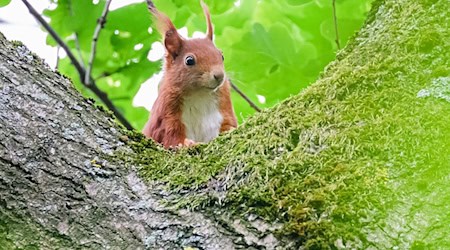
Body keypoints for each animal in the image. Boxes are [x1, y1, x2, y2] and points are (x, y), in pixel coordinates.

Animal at [142, 0, 237, 148]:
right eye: (189, 60)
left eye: (222, 56)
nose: (219, 76)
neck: (200, 94)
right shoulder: (167, 114)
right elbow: (170, 137)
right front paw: (186, 143)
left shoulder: (224, 108)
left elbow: (228, 125)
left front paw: (230, 130)